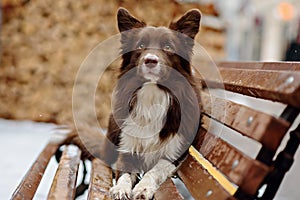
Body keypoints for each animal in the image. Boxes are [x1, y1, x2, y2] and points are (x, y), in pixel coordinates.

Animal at [102, 7, 203, 200]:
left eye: (168, 47)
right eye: (141, 46)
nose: (150, 60)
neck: (152, 93)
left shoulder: (175, 153)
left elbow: (155, 170)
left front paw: (143, 188)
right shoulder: (127, 146)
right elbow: (124, 171)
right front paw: (121, 188)